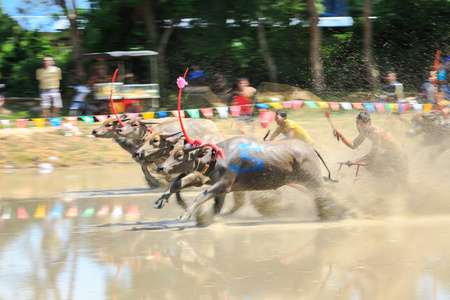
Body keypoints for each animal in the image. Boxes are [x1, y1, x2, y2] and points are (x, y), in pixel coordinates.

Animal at [156, 137, 350, 223]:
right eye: (171, 152)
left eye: (179, 155)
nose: (161, 168)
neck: (218, 157)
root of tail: (309, 149)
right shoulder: (217, 185)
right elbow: (179, 184)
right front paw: (161, 200)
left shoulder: (223, 185)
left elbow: (200, 197)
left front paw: (185, 214)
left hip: (313, 181)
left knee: (325, 196)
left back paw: (340, 212)